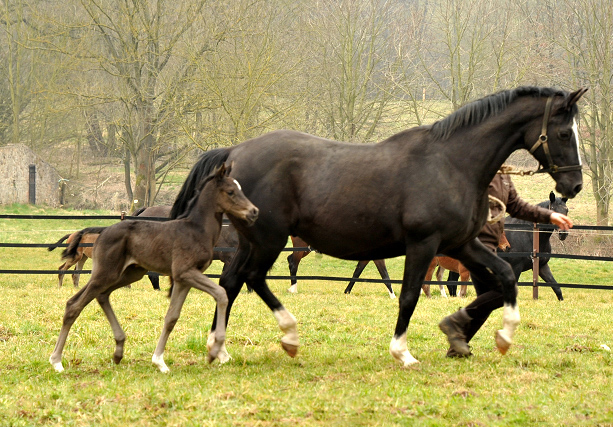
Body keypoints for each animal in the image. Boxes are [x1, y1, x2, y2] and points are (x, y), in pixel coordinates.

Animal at [49, 165, 256, 374]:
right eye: (230, 191)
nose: (254, 211)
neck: (197, 230)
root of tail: (103, 230)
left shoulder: (183, 279)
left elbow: (172, 317)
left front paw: (159, 361)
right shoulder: (185, 272)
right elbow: (221, 294)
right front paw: (216, 350)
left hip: (129, 274)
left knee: (100, 296)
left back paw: (118, 350)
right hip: (105, 273)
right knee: (75, 305)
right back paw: (57, 361)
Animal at [170, 86, 584, 364]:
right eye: (565, 133)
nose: (574, 185)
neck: (452, 164)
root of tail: (234, 152)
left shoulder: (461, 243)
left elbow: (504, 279)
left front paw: (494, 335)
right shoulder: (424, 243)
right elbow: (409, 295)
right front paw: (403, 352)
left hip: (250, 241)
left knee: (230, 283)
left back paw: (219, 349)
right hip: (269, 240)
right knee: (253, 279)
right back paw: (289, 336)